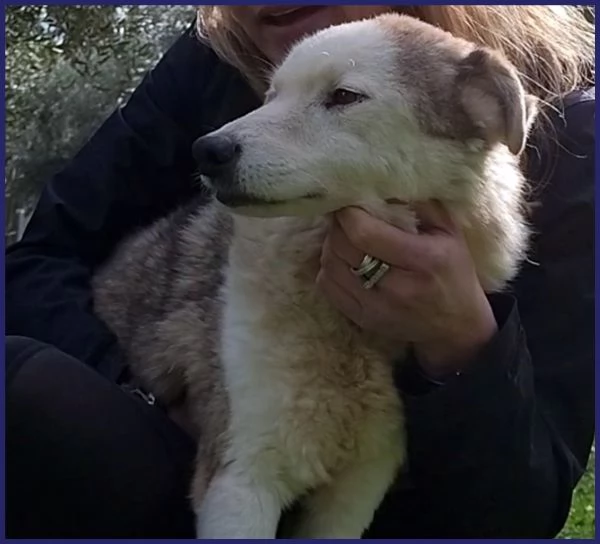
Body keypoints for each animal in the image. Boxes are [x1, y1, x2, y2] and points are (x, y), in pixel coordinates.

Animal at [92, 12, 536, 540]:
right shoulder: (241, 479)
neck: (347, 333)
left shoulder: (353, 495)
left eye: (343, 96)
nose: (208, 152)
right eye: (271, 94)